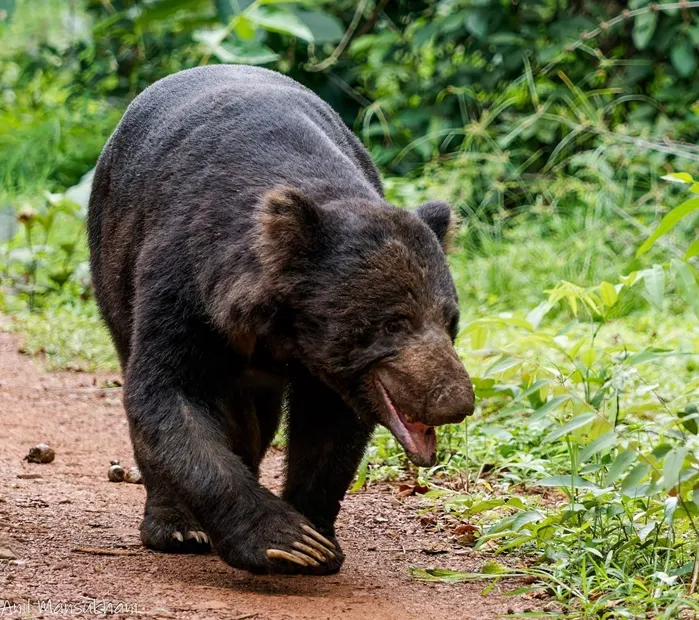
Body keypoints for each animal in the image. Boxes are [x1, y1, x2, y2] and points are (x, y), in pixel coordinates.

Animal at [87, 65, 474, 575]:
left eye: (451, 322)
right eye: (395, 322)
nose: (455, 401)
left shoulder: (336, 370)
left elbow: (329, 426)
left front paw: (318, 540)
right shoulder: (185, 281)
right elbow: (170, 393)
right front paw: (285, 540)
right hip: (113, 260)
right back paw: (177, 525)